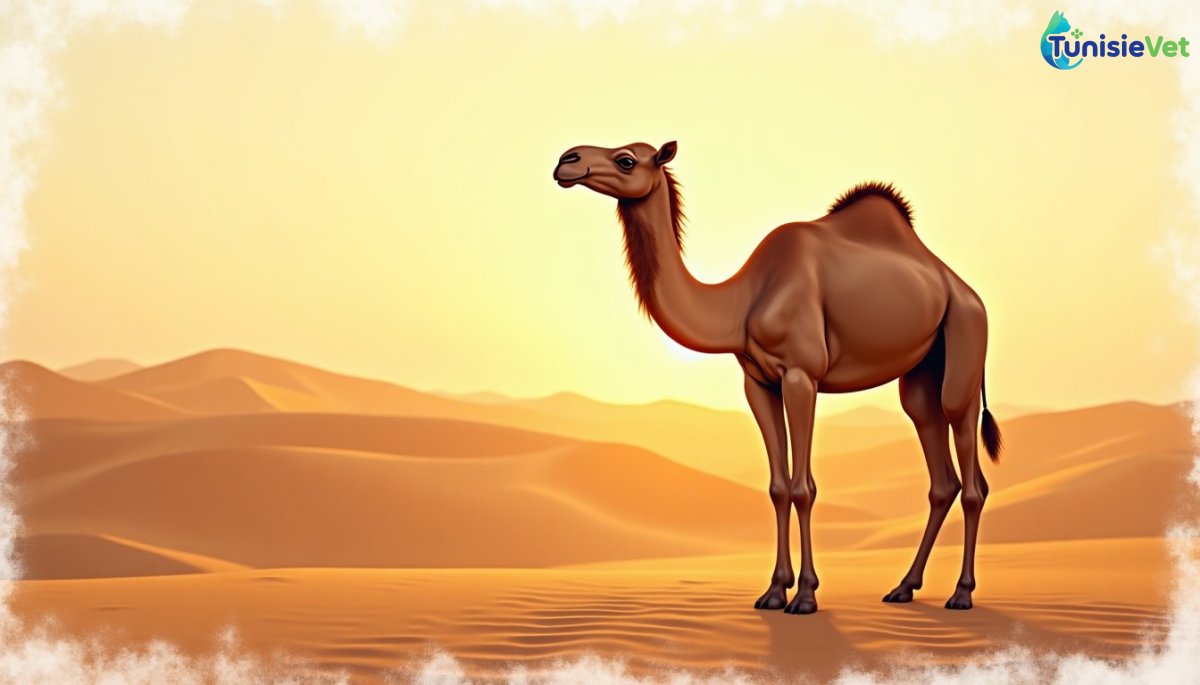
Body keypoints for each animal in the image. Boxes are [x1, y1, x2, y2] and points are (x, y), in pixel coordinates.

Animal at [553, 141, 1002, 615]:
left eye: (626, 159)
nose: (567, 161)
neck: (742, 301)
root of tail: (964, 290)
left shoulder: (802, 375)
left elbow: (803, 488)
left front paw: (804, 595)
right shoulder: (758, 381)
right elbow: (777, 486)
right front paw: (773, 590)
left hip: (966, 337)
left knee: (970, 473)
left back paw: (961, 593)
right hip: (920, 373)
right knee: (938, 467)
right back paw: (903, 586)